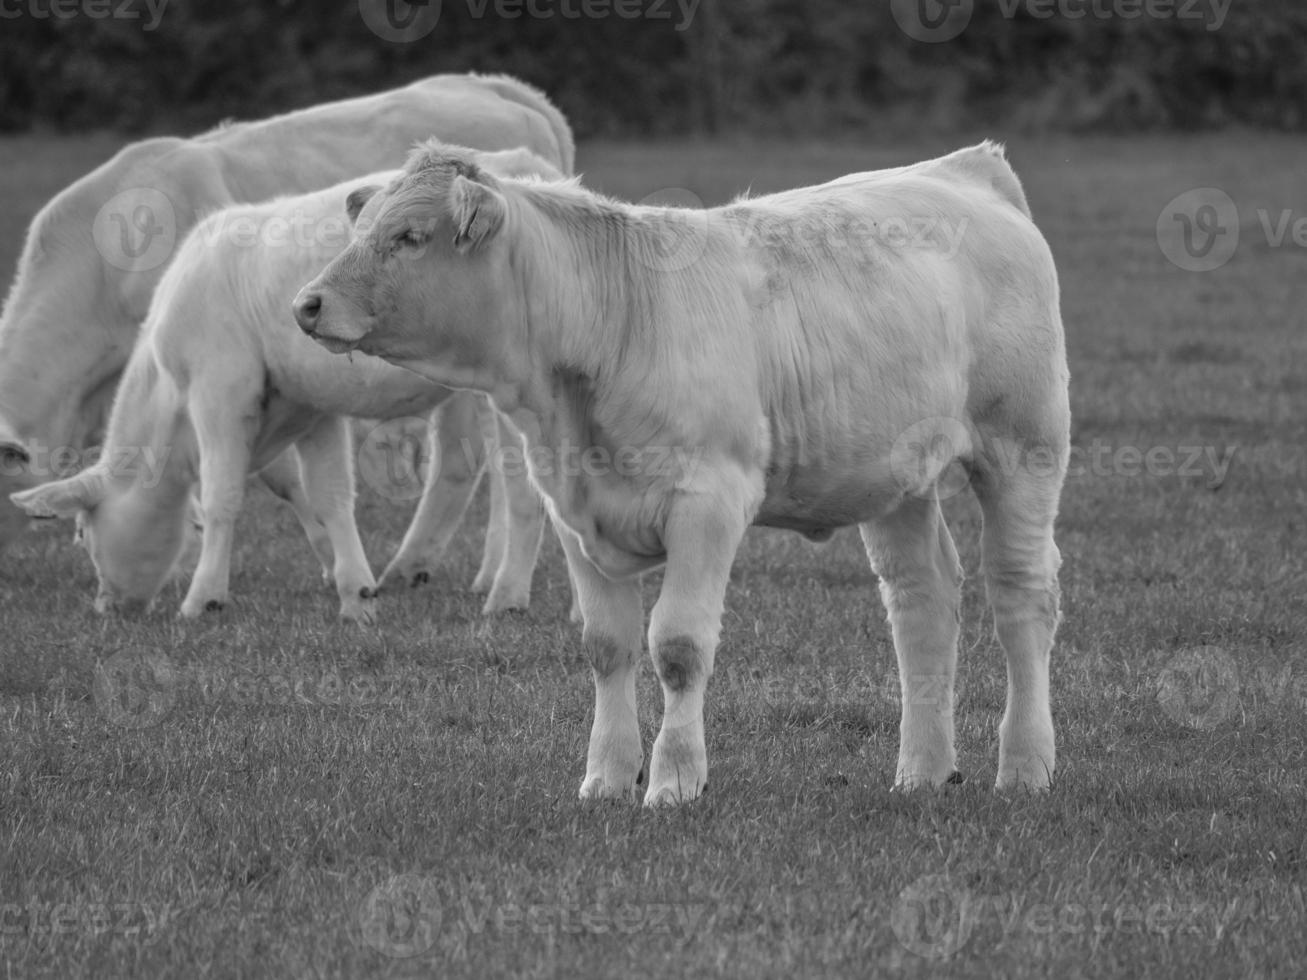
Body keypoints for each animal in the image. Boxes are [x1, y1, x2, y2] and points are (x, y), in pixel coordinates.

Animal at [0, 72, 575, 606]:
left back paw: (476, 579)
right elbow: (307, 486)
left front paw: (218, 578)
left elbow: (245, 486)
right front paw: (341, 570)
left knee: (484, 470)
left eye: (82, 534)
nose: (106, 605)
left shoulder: (225, 385)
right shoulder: (295, 396)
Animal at [294, 141, 1071, 810]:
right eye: (362, 225)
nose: (306, 304)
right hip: (894, 477)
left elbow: (677, 645)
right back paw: (921, 771)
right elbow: (606, 646)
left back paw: (1026, 765)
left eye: (410, 236)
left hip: (1024, 449)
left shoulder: (709, 502)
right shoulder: (573, 514)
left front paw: (673, 780)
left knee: (1020, 598)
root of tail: (964, 168)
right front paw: (606, 778)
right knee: (922, 601)